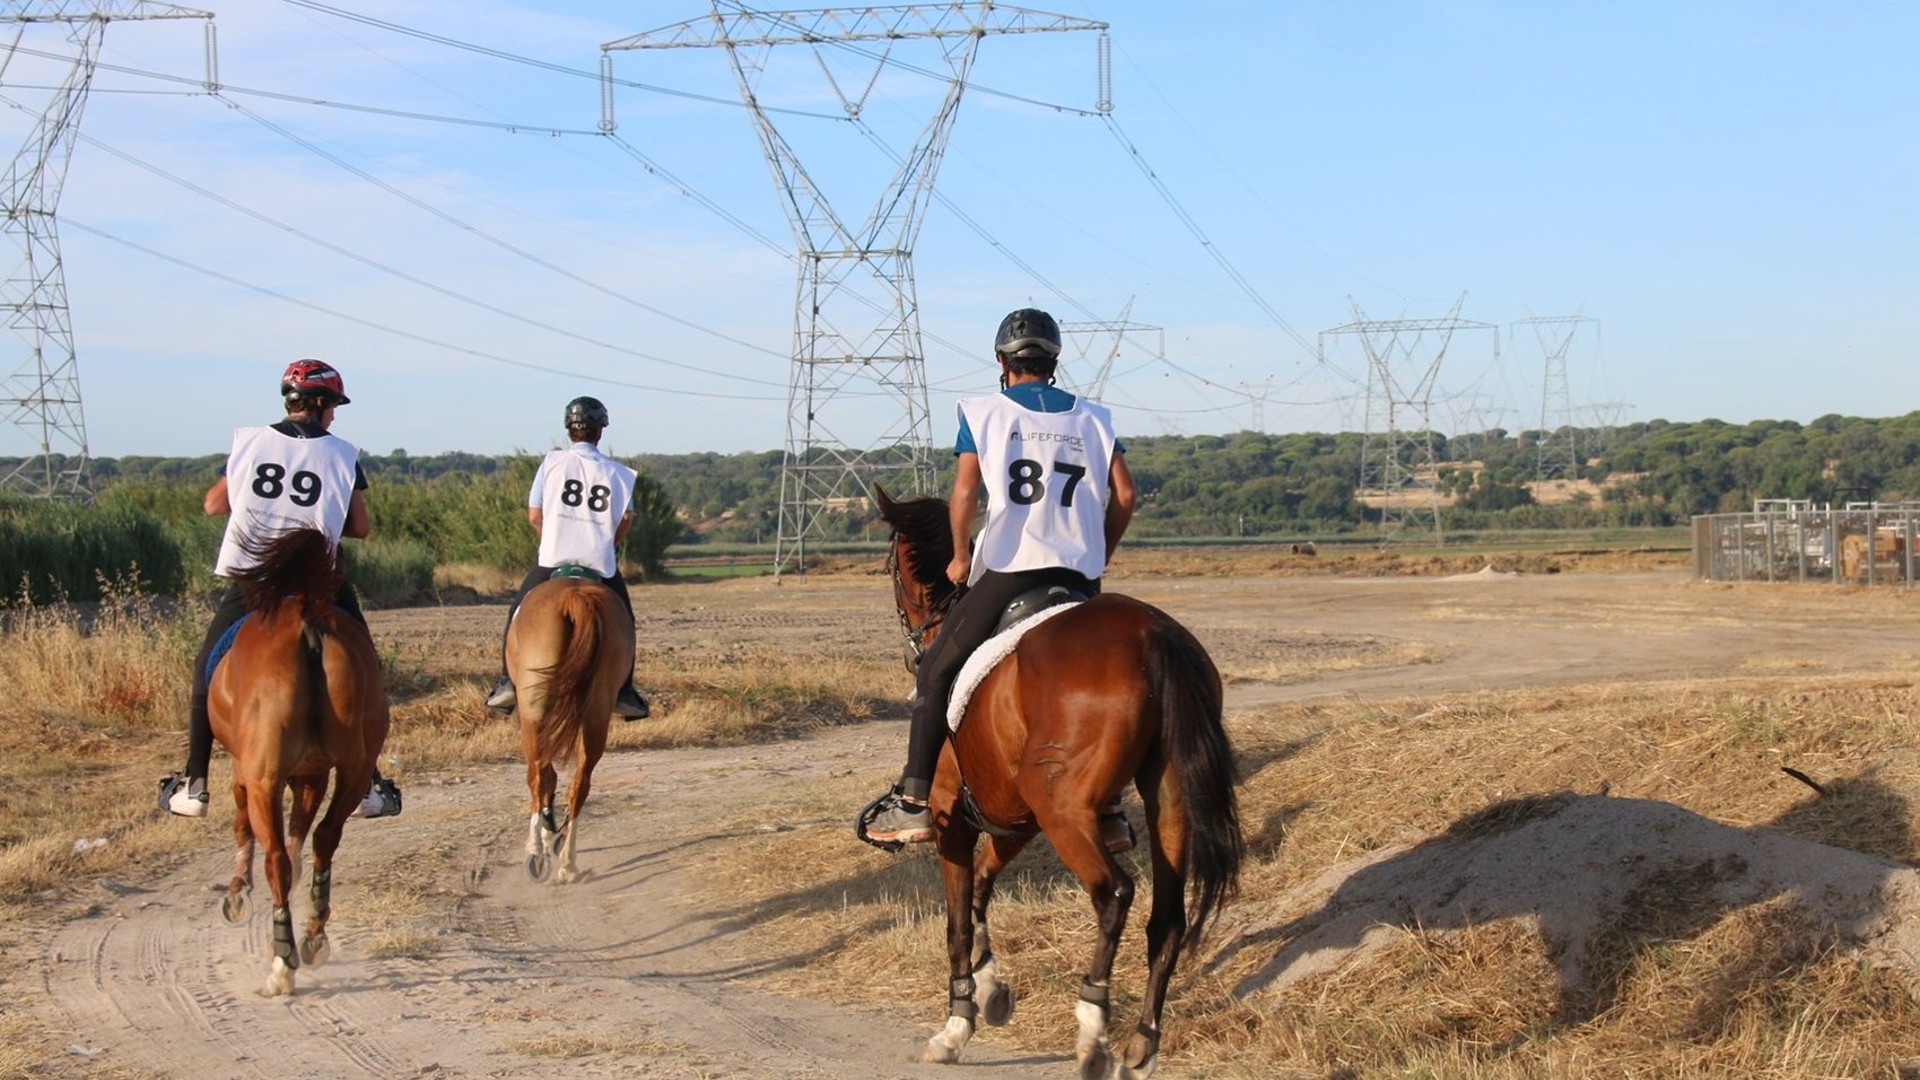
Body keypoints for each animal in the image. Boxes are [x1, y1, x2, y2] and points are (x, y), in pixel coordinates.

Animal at [211, 526, 389, 999]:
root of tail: (304, 616)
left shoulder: (247, 774)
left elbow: (246, 826)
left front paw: (237, 892)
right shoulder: (311, 776)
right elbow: (300, 837)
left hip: (263, 778)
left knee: (275, 857)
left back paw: (282, 964)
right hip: (354, 769)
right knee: (325, 837)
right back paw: (312, 936)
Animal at [506, 572, 633, 883]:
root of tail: (574, 598)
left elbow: (546, 775)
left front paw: (546, 830)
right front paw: (554, 831)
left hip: (533, 710)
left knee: (537, 775)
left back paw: (537, 851)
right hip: (597, 712)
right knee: (580, 783)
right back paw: (567, 861)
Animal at [871, 488, 1244, 1076]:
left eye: (889, 567)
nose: (913, 651)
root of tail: (1152, 634)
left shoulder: (956, 818)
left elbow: (957, 921)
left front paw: (957, 1024)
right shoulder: (1013, 819)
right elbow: (982, 887)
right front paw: (991, 989)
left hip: (1064, 812)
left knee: (1114, 893)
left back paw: (1093, 1030)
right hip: (1167, 799)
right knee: (1168, 919)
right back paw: (1141, 1044)